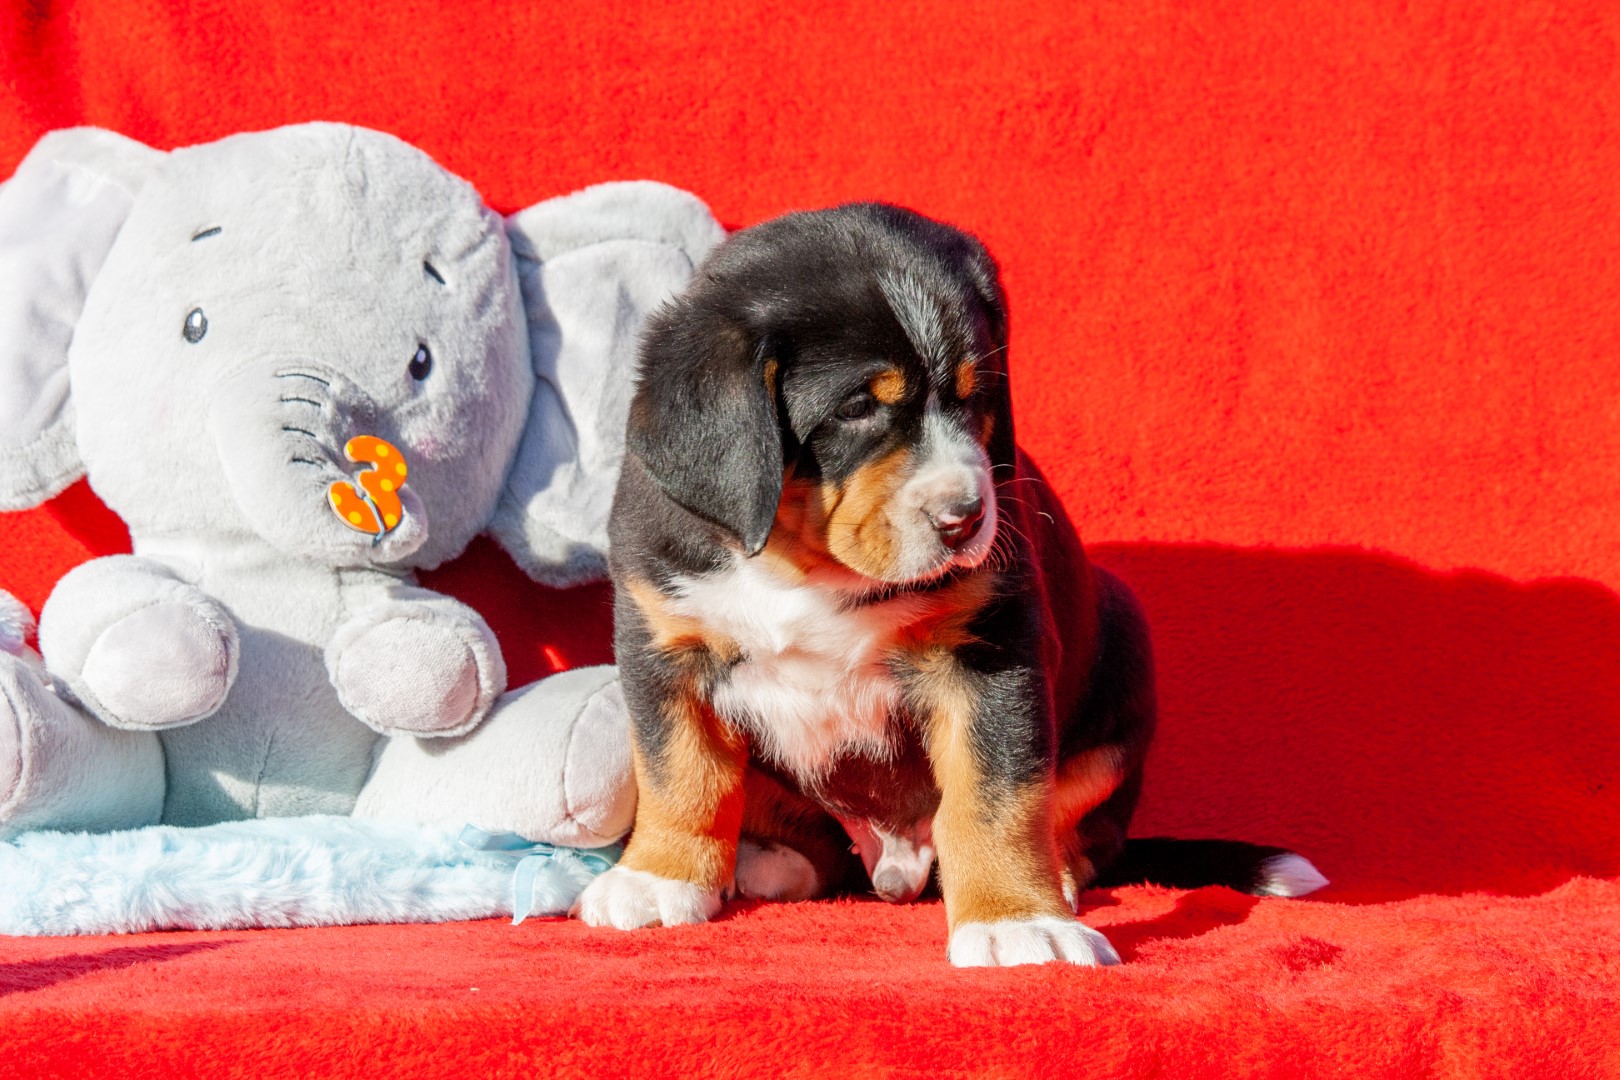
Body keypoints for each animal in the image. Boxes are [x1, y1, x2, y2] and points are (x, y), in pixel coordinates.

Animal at [574, 203, 1326, 967]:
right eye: (855, 408)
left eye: (975, 395)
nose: (965, 519)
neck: (805, 564)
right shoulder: (665, 641)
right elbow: (681, 772)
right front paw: (657, 877)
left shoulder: (988, 652)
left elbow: (994, 799)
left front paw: (1016, 919)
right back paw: (766, 859)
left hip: (1122, 661)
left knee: (1082, 830)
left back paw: (1055, 874)